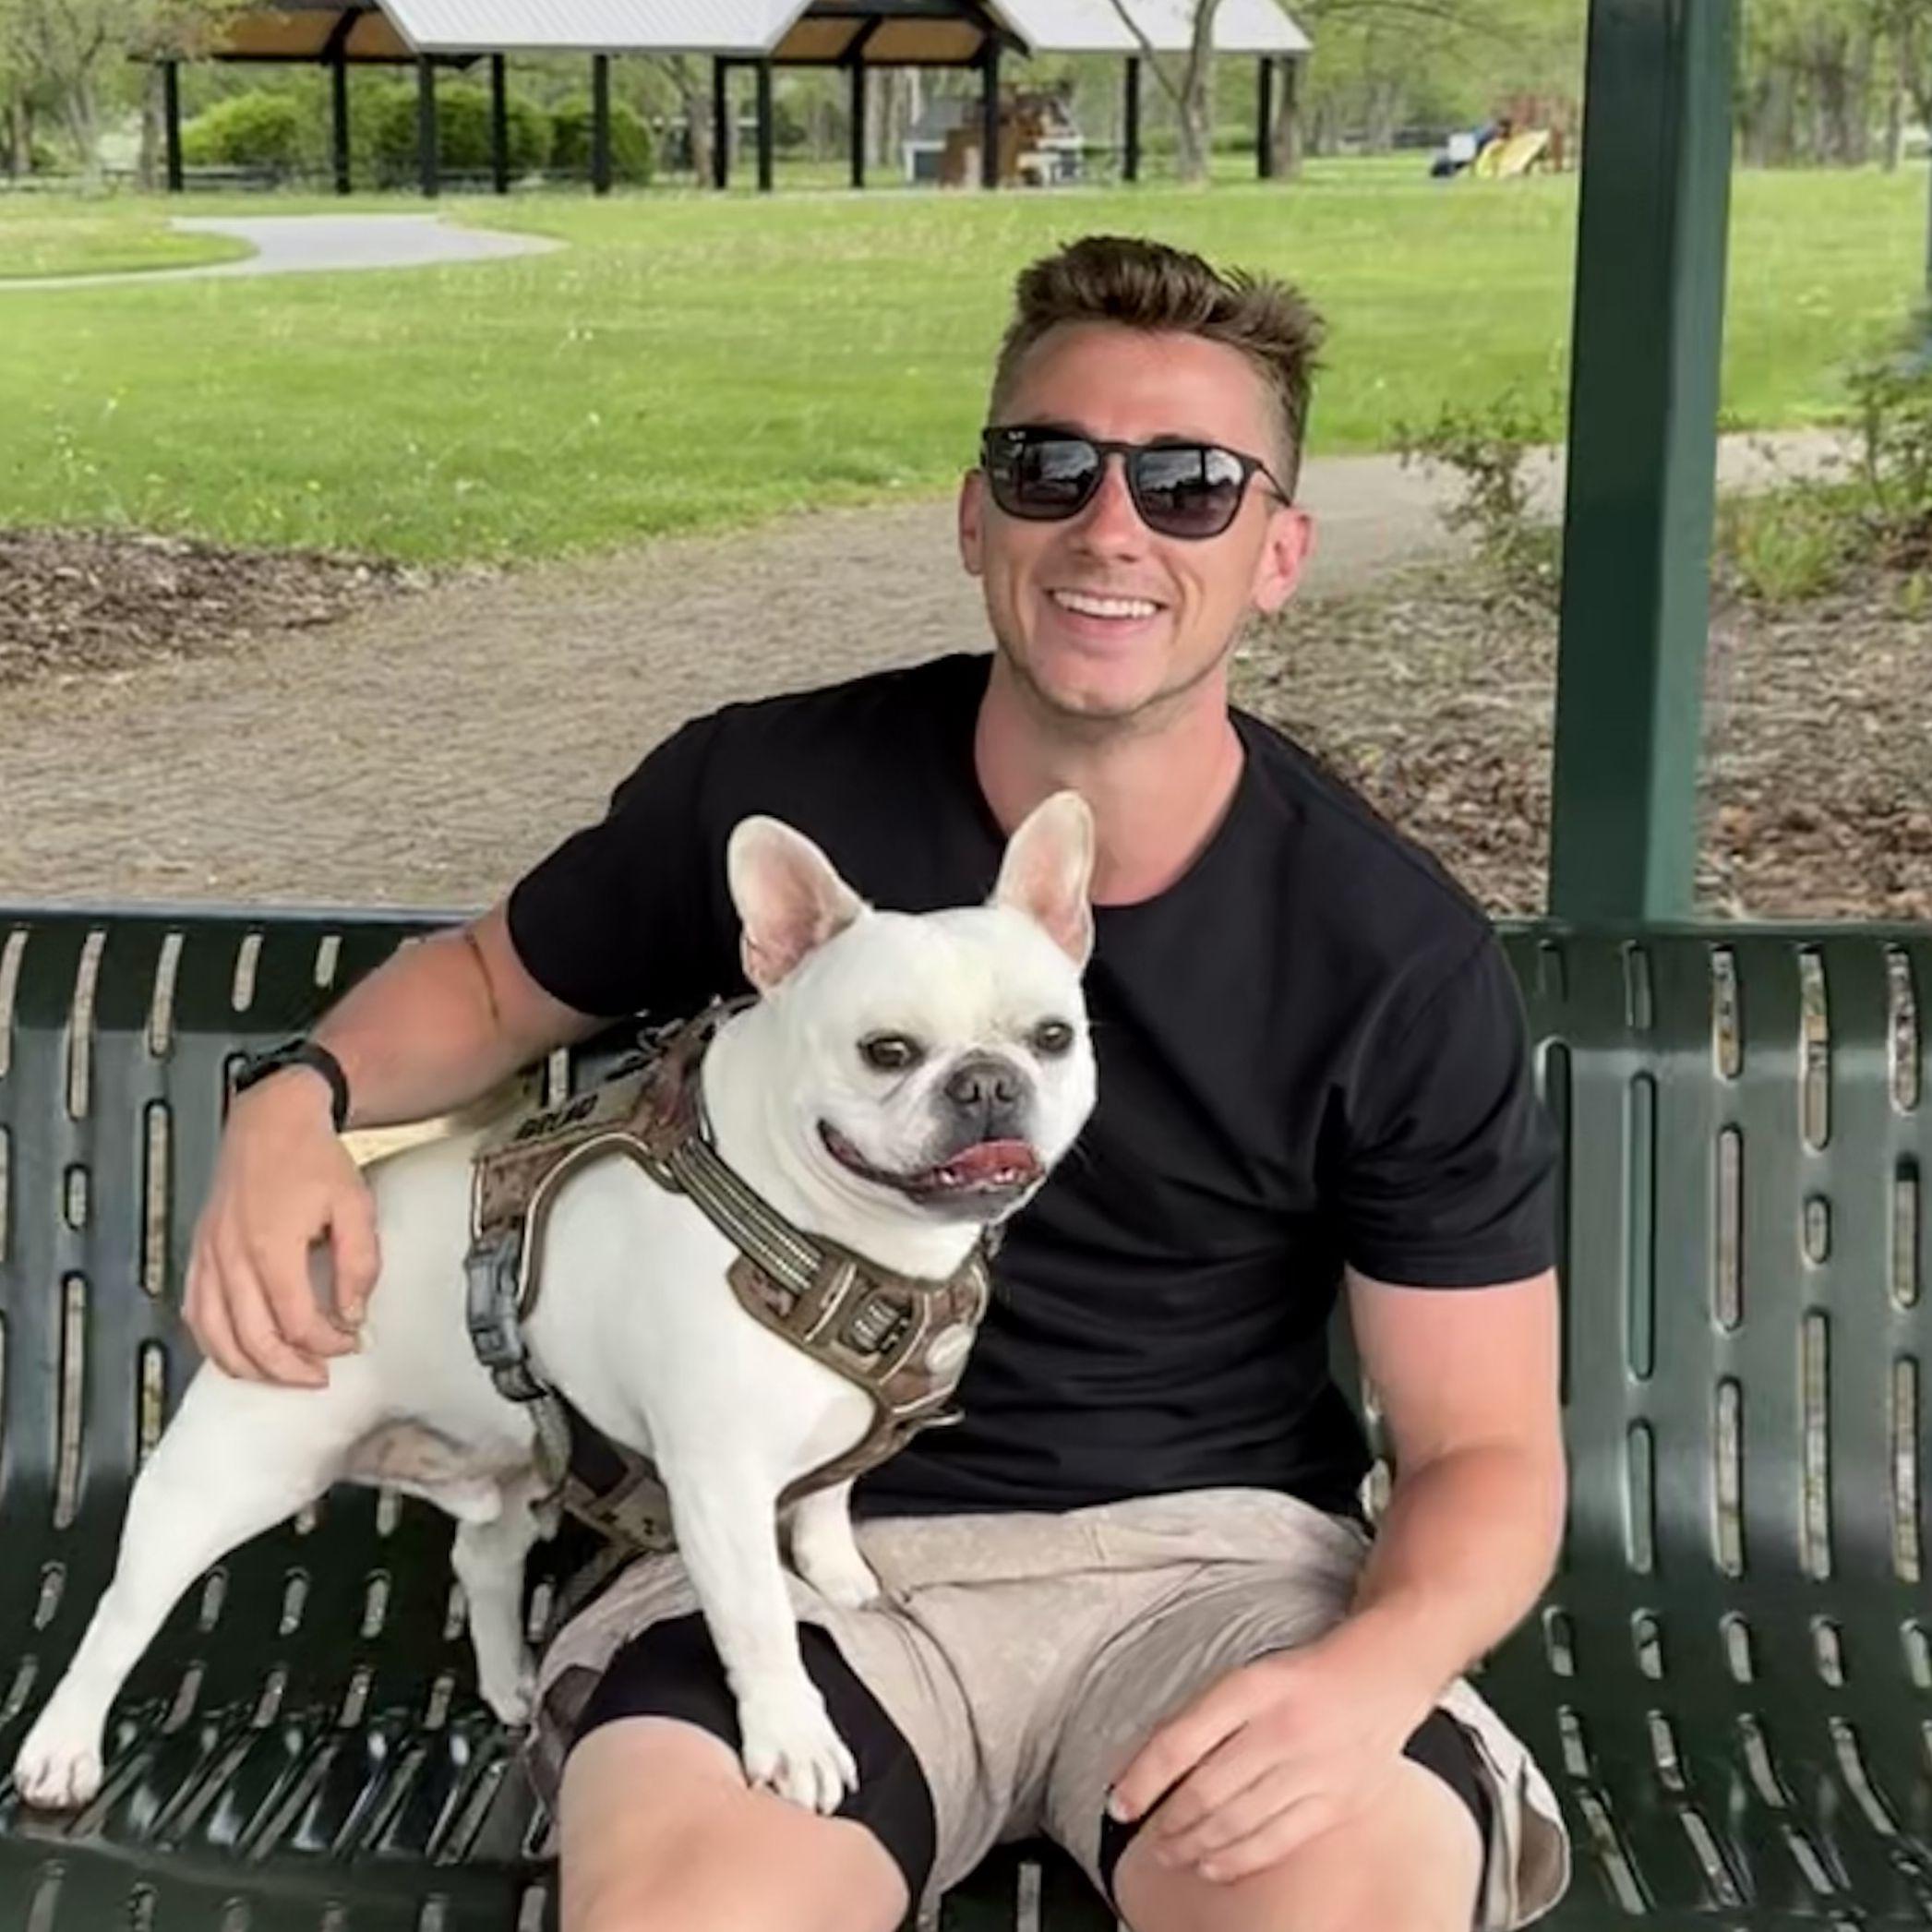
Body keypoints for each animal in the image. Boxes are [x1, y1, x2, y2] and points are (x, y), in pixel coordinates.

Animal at [13, 792, 1097, 1818]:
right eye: (886, 1050)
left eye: (1053, 1037)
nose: (988, 1082)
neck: (827, 1233)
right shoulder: (719, 1484)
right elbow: (759, 1620)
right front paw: (794, 1737)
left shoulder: (839, 1438)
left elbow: (830, 1506)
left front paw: (844, 1583)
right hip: (235, 1469)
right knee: (123, 1608)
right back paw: (61, 1747)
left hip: (521, 1469)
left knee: (482, 1558)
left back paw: (513, 1685)